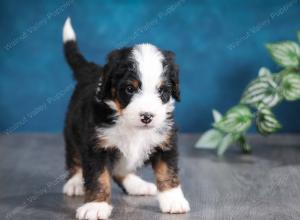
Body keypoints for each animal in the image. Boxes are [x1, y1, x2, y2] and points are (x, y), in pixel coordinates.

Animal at [61, 17, 190, 220]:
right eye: (130, 89)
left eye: (162, 91)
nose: (147, 116)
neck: (131, 126)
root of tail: (91, 70)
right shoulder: (97, 145)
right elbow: (98, 176)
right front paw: (95, 205)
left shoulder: (165, 141)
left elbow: (167, 171)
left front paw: (173, 200)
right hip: (72, 127)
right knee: (74, 155)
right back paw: (74, 182)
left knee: (120, 170)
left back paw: (137, 185)